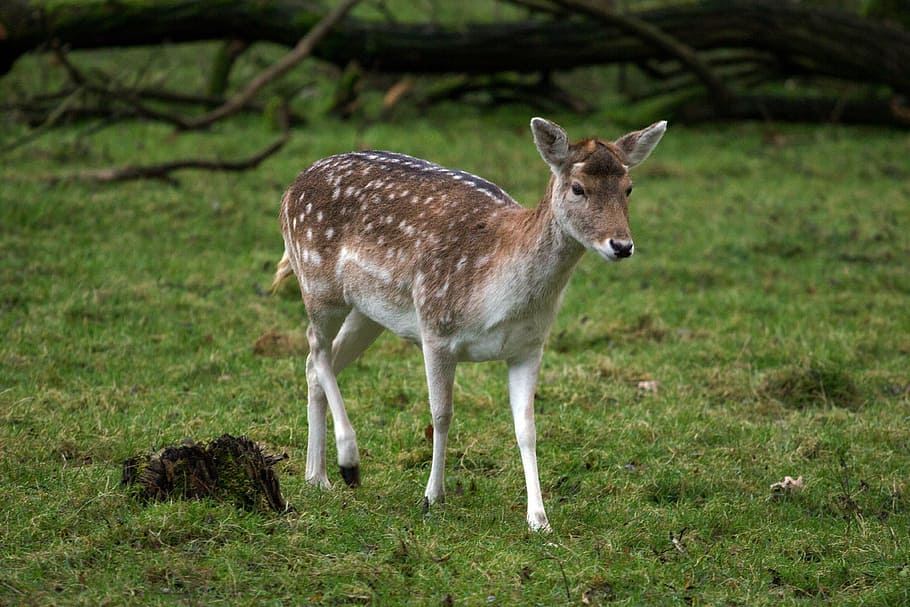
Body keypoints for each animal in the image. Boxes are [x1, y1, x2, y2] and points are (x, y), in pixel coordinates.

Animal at [272, 117, 667, 531]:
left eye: (629, 187)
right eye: (578, 187)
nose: (621, 245)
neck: (500, 297)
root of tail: (289, 191)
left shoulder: (530, 346)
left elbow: (527, 429)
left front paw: (539, 519)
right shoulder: (436, 327)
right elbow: (441, 415)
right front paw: (432, 496)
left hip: (368, 312)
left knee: (317, 363)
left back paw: (317, 477)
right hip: (317, 282)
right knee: (316, 349)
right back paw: (349, 463)